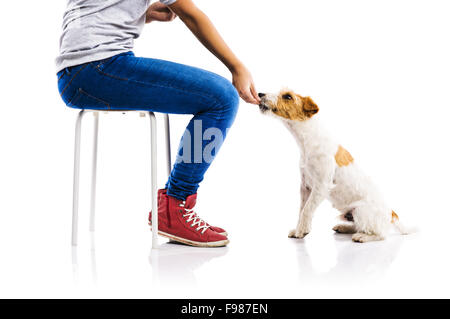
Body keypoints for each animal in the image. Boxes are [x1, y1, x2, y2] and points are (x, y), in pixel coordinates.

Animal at [258, 89, 414, 244]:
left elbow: (307, 209)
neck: (308, 142)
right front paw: (298, 229)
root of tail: (392, 214)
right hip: (350, 214)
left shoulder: (321, 186)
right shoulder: (305, 187)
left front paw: (301, 231)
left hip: (361, 210)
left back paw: (362, 237)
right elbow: (301, 210)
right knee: (358, 226)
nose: (260, 94)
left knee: (380, 234)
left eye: (288, 96)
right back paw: (343, 227)